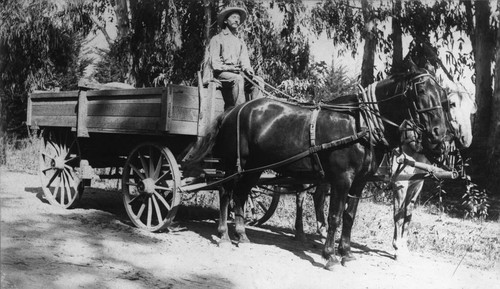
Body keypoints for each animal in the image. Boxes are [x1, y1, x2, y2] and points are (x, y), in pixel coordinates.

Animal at [186, 66, 448, 268]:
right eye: (421, 90)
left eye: (442, 93)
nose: (439, 133)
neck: (359, 124)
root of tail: (233, 110)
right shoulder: (342, 179)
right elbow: (334, 217)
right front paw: (330, 256)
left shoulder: (360, 181)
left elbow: (349, 217)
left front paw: (346, 254)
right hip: (233, 165)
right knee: (225, 192)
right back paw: (223, 235)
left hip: (254, 168)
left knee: (240, 195)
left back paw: (242, 235)